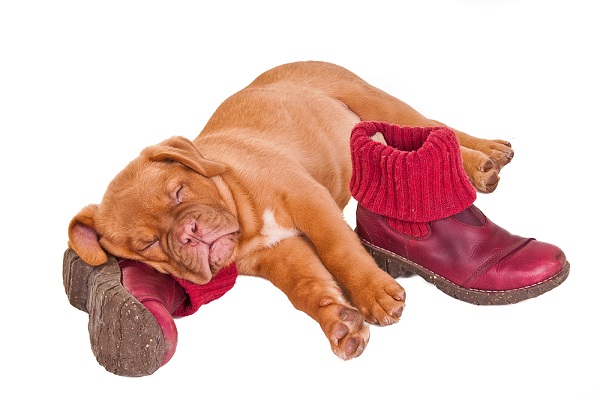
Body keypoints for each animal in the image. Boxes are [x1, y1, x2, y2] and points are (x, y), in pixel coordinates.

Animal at [69, 59, 510, 360]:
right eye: (147, 245)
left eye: (179, 192)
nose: (187, 232)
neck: (242, 216)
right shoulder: (280, 253)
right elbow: (307, 287)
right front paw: (339, 322)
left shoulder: (306, 198)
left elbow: (339, 248)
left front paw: (373, 294)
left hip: (370, 98)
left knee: (431, 126)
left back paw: (482, 160)